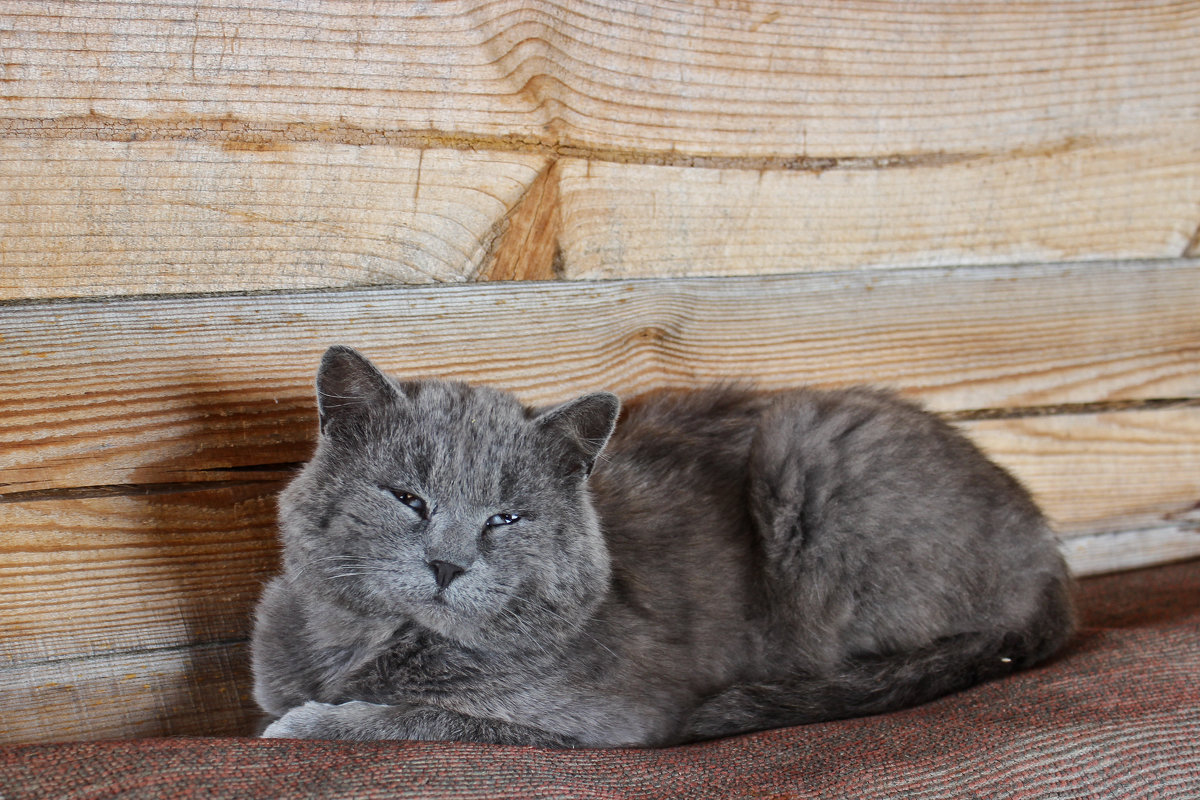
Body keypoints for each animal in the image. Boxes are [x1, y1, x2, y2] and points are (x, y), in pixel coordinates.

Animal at [248, 345, 1075, 753]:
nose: (448, 563)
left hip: (811, 454)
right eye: (408, 499)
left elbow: (418, 718)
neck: (360, 644)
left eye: (507, 518)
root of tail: (1050, 554)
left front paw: (306, 726)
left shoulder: (605, 724)